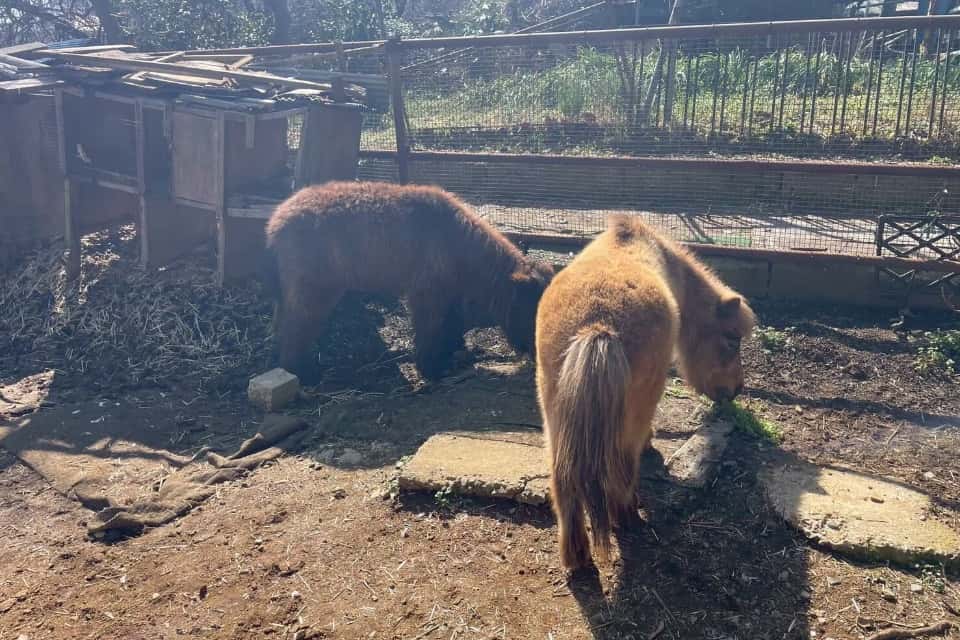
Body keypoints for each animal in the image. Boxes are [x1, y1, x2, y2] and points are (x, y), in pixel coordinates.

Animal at [264, 181, 555, 382]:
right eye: (533, 316)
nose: (540, 357)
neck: (460, 243)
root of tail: (276, 221)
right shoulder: (426, 291)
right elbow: (430, 328)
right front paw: (432, 368)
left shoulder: (447, 291)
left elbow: (451, 324)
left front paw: (454, 352)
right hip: (313, 287)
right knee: (296, 326)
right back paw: (302, 373)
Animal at [535, 215, 755, 569]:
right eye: (732, 339)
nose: (736, 389)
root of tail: (598, 325)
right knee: (622, 465)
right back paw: (627, 515)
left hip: (555, 416)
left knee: (563, 481)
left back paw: (577, 557)